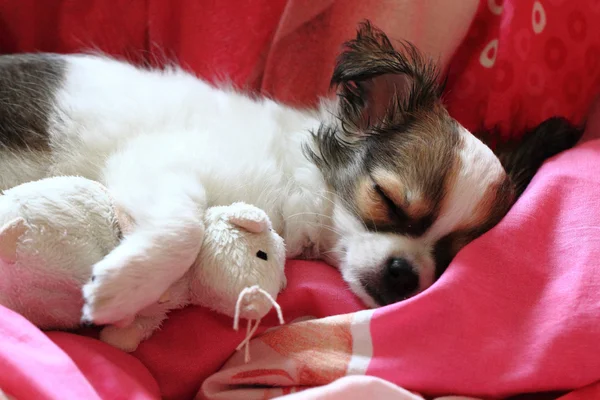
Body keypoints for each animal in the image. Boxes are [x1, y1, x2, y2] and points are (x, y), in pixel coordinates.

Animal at [0, 21, 580, 330]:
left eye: (452, 254)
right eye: (386, 200)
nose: (404, 273)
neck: (293, 183)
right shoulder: (156, 161)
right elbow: (184, 228)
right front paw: (122, 288)